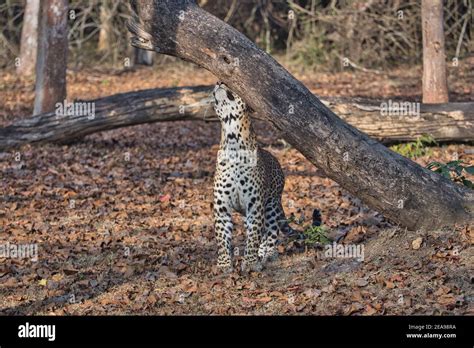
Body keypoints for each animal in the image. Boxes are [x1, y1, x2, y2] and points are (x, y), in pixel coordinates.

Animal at [212, 83, 320, 274]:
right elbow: (221, 237)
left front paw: (250, 263)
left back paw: (267, 254)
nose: (218, 82)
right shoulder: (221, 206)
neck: (232, 140)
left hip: (270, 204)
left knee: (271, 230)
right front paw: (224, 265)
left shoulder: (255, 204)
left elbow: (253, 235)